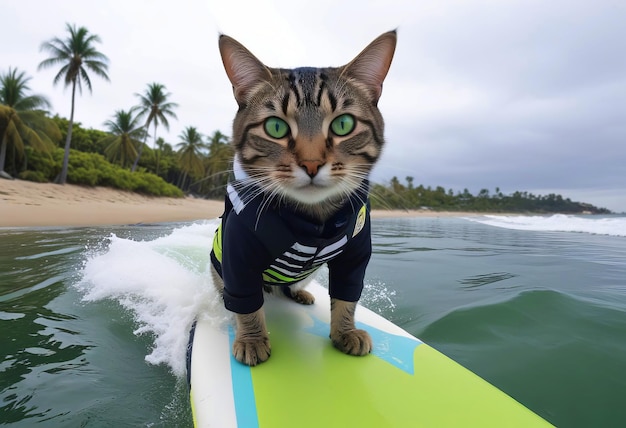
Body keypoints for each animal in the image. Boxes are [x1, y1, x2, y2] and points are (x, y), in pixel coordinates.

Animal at [210, 30, 394, 366]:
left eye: (344, 124)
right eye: (275, 127)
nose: (311, 164)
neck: (313, 218)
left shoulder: (356, 255)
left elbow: (347, 295)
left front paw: (345, 331)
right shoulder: (237, 256)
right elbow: (245, 302)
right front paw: (252, 338)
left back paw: (300, 293)